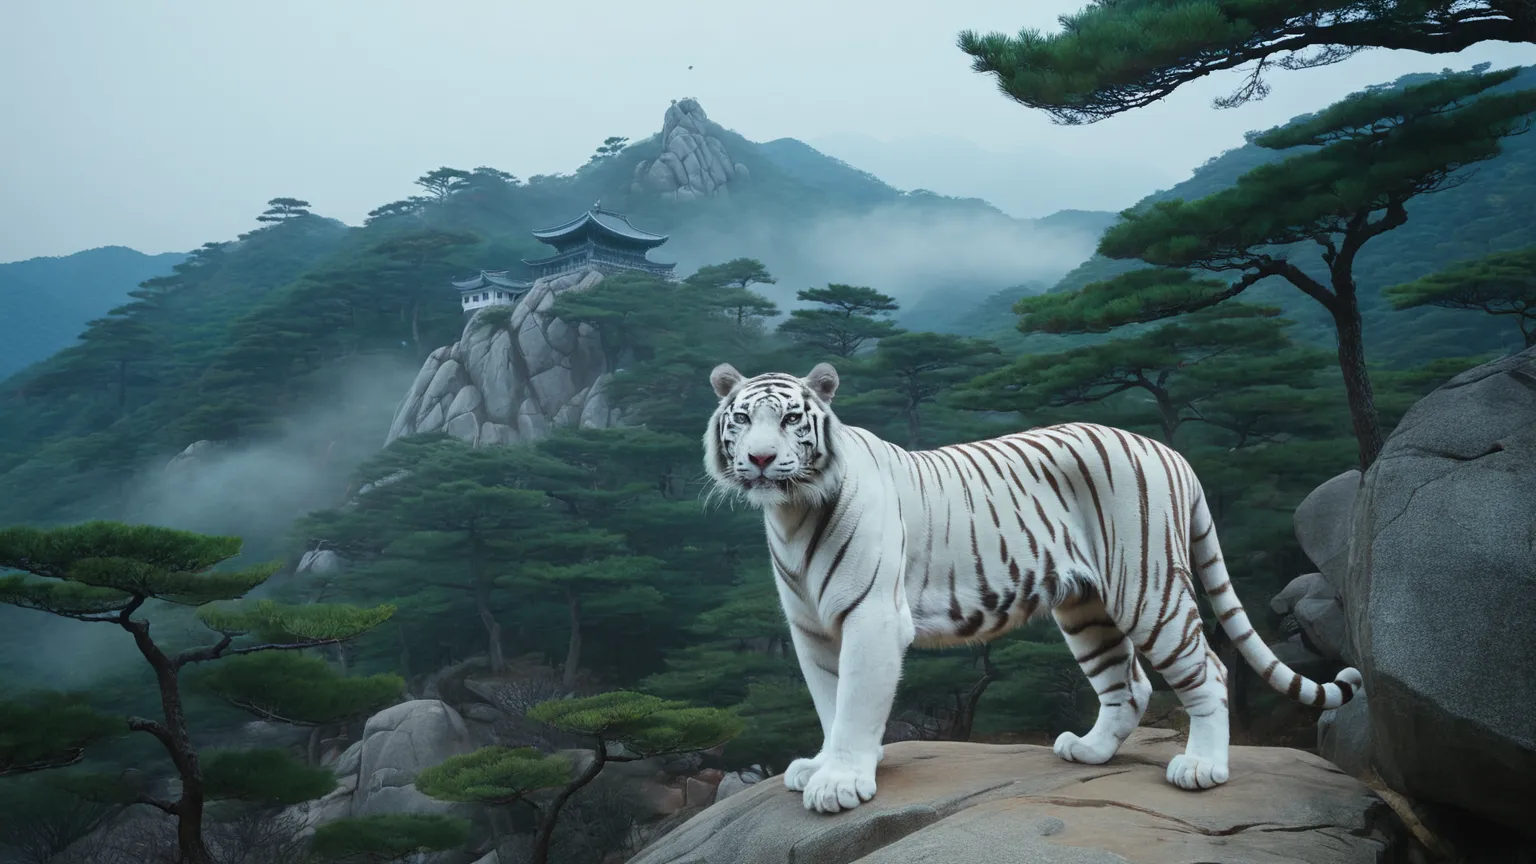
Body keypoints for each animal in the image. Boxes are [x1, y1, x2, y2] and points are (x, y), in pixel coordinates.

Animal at [703, 361, 1364, 814]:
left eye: (791, 419)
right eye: (743, 419)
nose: (759, 460)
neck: (791, 512)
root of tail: (1168, 451)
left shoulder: (872, 617)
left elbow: (857, 700)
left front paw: (838, 782)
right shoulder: (812, 627)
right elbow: (828, 697)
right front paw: (820, 765)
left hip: (1146, 588)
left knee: (1209, 670)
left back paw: (1201, 767)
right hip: (1087, 607)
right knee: (1129, 684)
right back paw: (1090, 751)